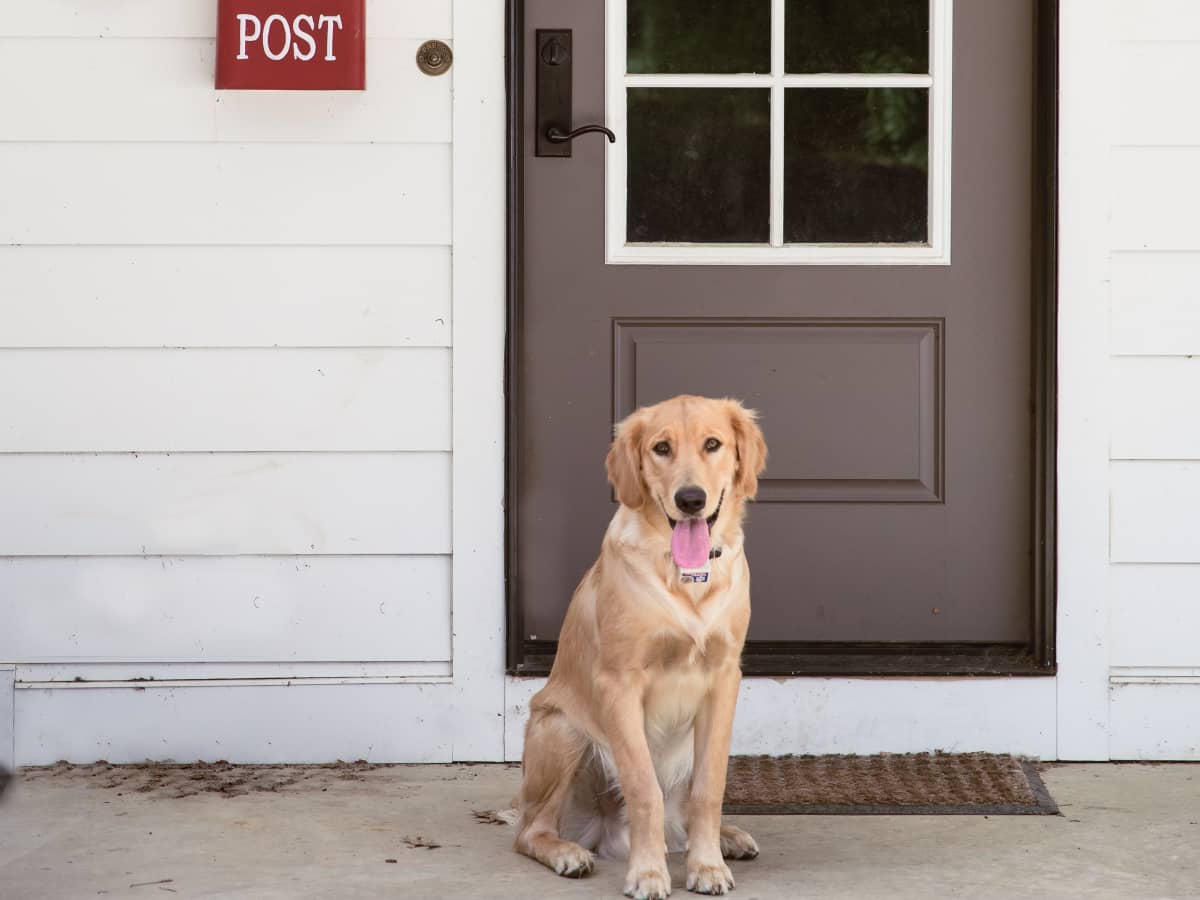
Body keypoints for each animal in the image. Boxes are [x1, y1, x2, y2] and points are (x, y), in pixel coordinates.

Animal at [511, 396, 763, 900]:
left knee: (683, 817)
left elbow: (710, 787)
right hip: (562, 730)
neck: (686, 576)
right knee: (531, 830)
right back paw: (568, 852)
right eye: (661, 448)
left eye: (713, 444)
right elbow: (644, 788)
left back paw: (726, 838)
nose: (691, 499)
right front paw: (647, 873)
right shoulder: (620, 683)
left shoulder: (725, 677)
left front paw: (707, 866)